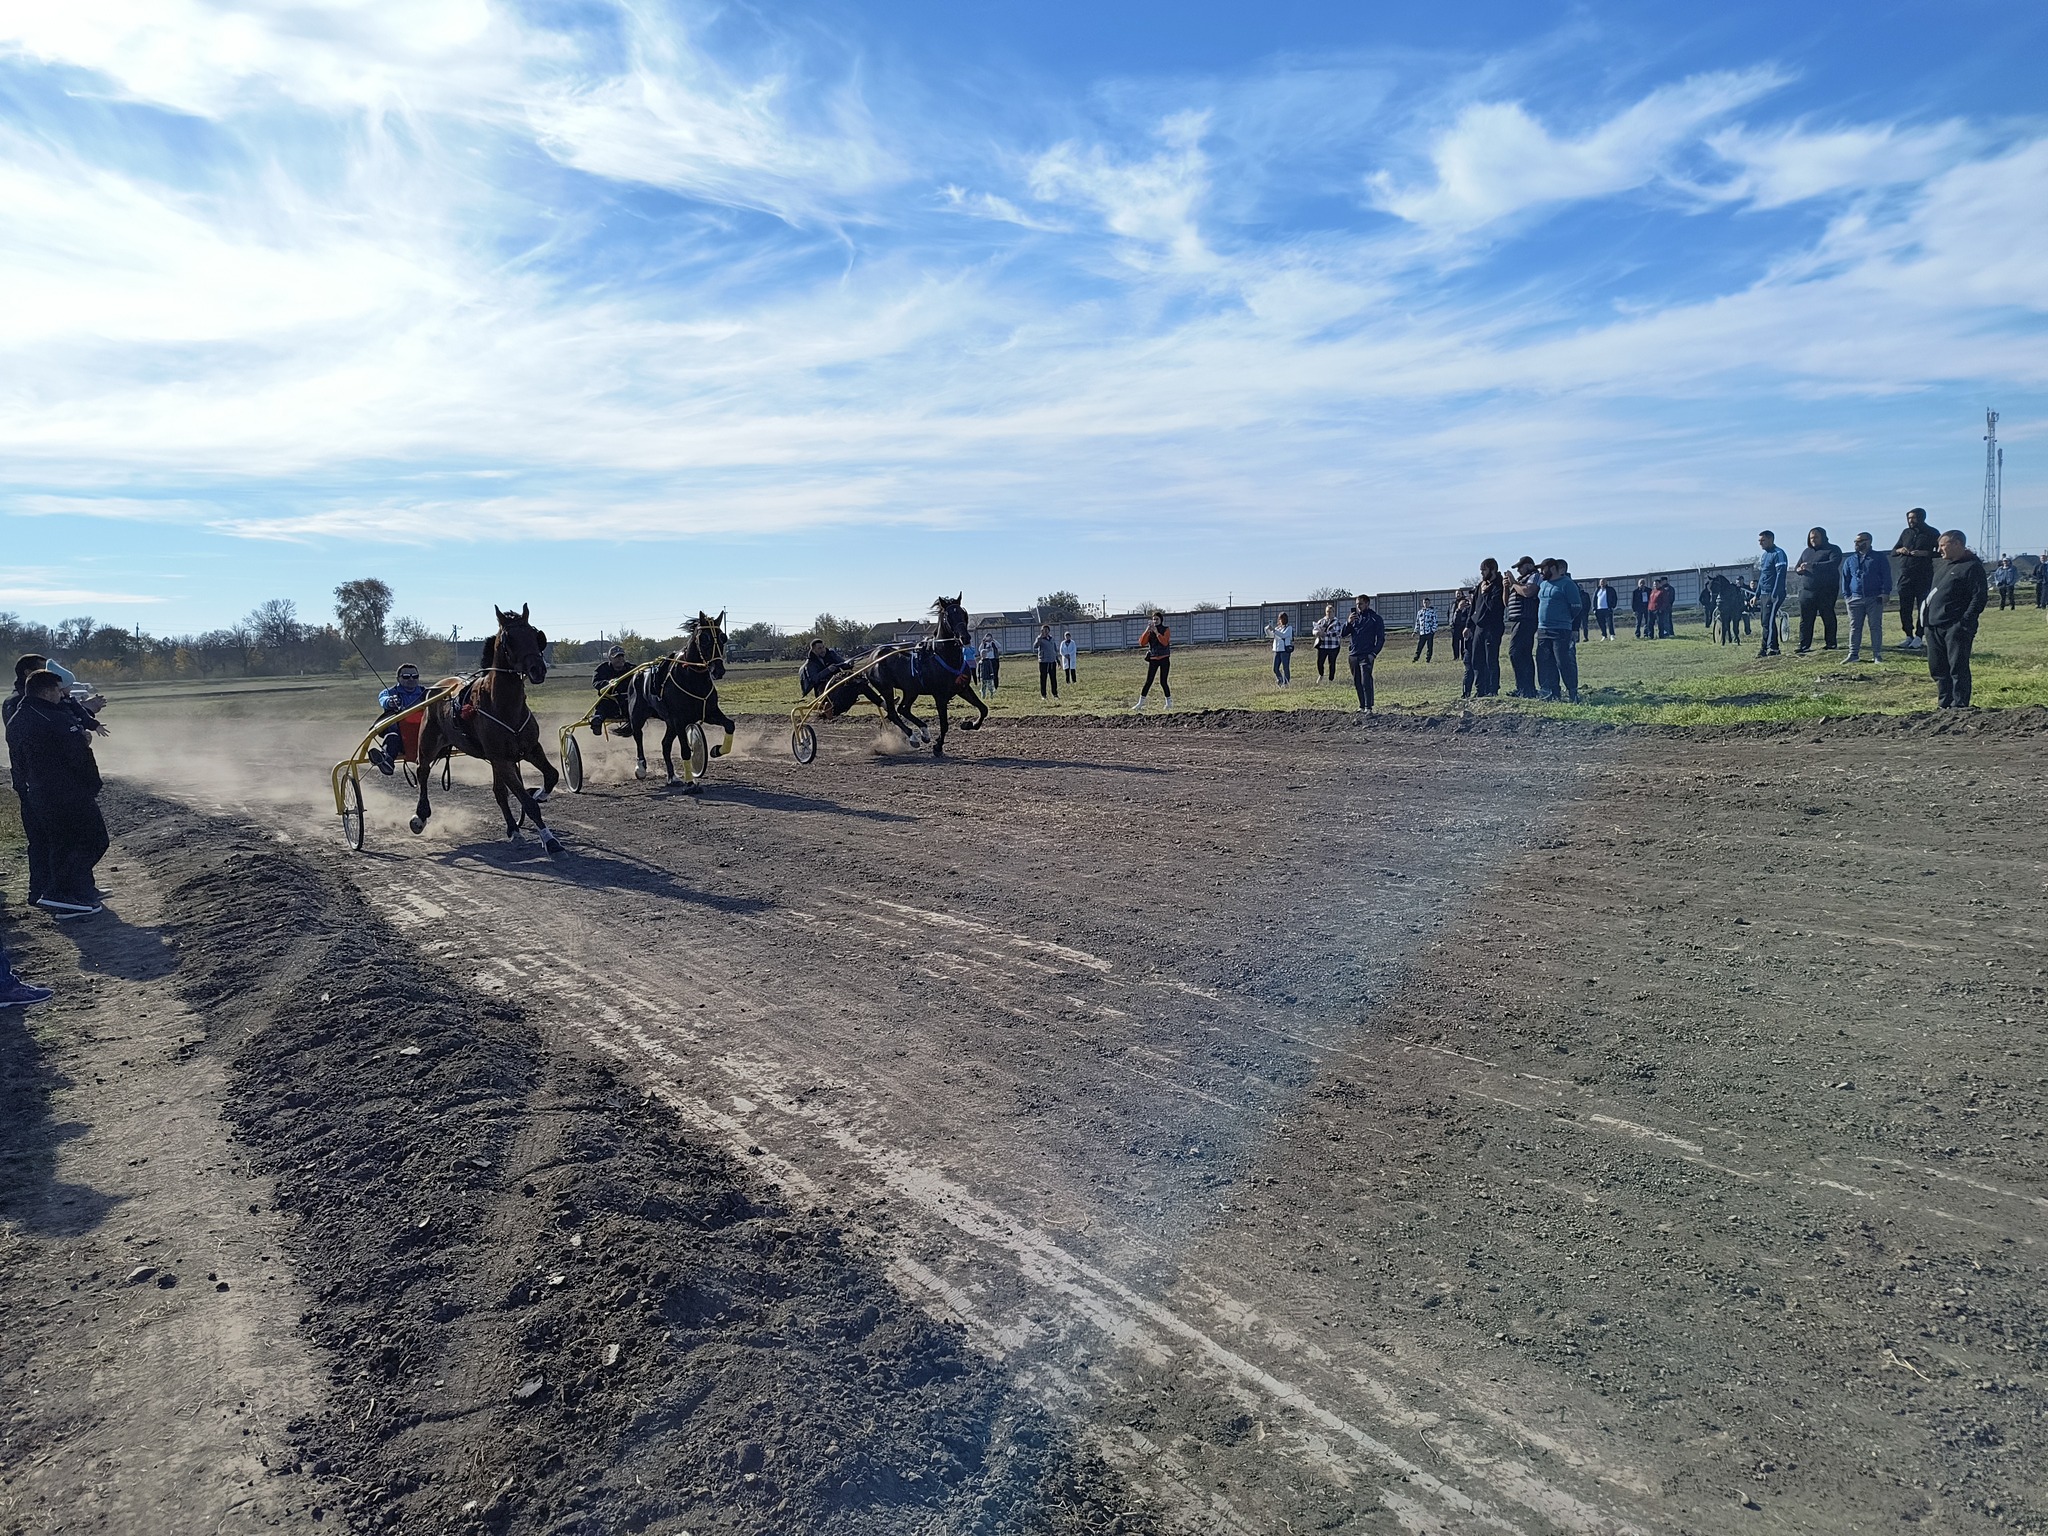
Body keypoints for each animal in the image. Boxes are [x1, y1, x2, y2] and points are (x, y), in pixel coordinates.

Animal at [405, 606, 561, 860]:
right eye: (509, 638)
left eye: (534, 634)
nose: (538, 669)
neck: (504, 706)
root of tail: (438, 686)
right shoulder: (501, 758)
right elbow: (527, 803)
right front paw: (550, 840)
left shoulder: (528, 749)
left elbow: (551, 776)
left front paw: (539, 794)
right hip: (428, 742)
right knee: (423, 771)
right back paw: (420, 816)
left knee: (499, 792)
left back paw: (513, 829)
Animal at [622, 610, 737, 794]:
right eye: (704, 638)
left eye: (723, 637)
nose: (718, 670)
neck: (693, 679)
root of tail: (636, 674)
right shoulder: (679, 720)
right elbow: (685, 751)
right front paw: (690, 783)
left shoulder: (710, 713)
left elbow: (730, 725)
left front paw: (716, 750)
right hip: (638, 716)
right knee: (638, 736)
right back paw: (641, 768)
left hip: (669, 723)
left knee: (665, 745)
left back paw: (672, 777)